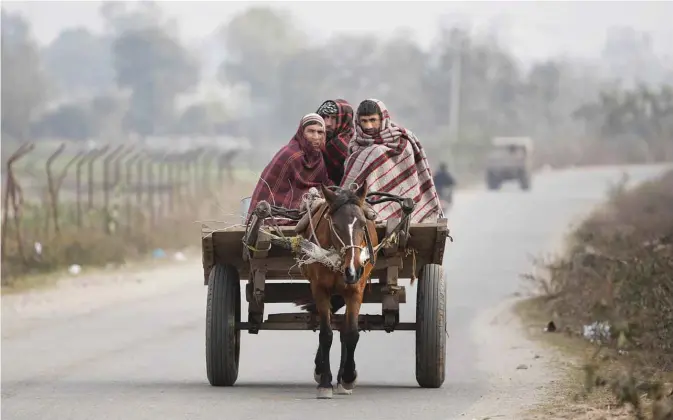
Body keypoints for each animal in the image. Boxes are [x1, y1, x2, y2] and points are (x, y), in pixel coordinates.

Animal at [300, 183, 378, 398]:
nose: (354, 269)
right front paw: (325, 382)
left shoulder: (356, 290)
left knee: (344, 329)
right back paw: (321, 370)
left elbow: (351, 333)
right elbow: (326, 334)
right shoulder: (320, 289)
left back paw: (342, 376)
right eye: (335, 225)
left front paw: (348, 377)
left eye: (363, 223)